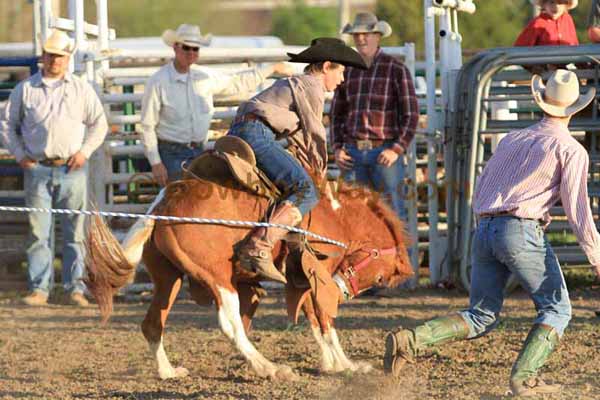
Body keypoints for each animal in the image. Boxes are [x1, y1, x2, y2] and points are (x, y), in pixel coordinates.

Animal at [85, 178, 412, 382]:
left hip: (169, 278)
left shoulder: (303, 281)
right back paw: (270, 368)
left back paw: (168, 372)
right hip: (217, 276)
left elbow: (313, 319)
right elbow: (323, 318)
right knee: (230, 325)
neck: (335, 217)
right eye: (378, 275)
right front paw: (346, 364)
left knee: (153, 323)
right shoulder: (318, 275)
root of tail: (163, 205)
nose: (344, 292)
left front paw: (331, 363)